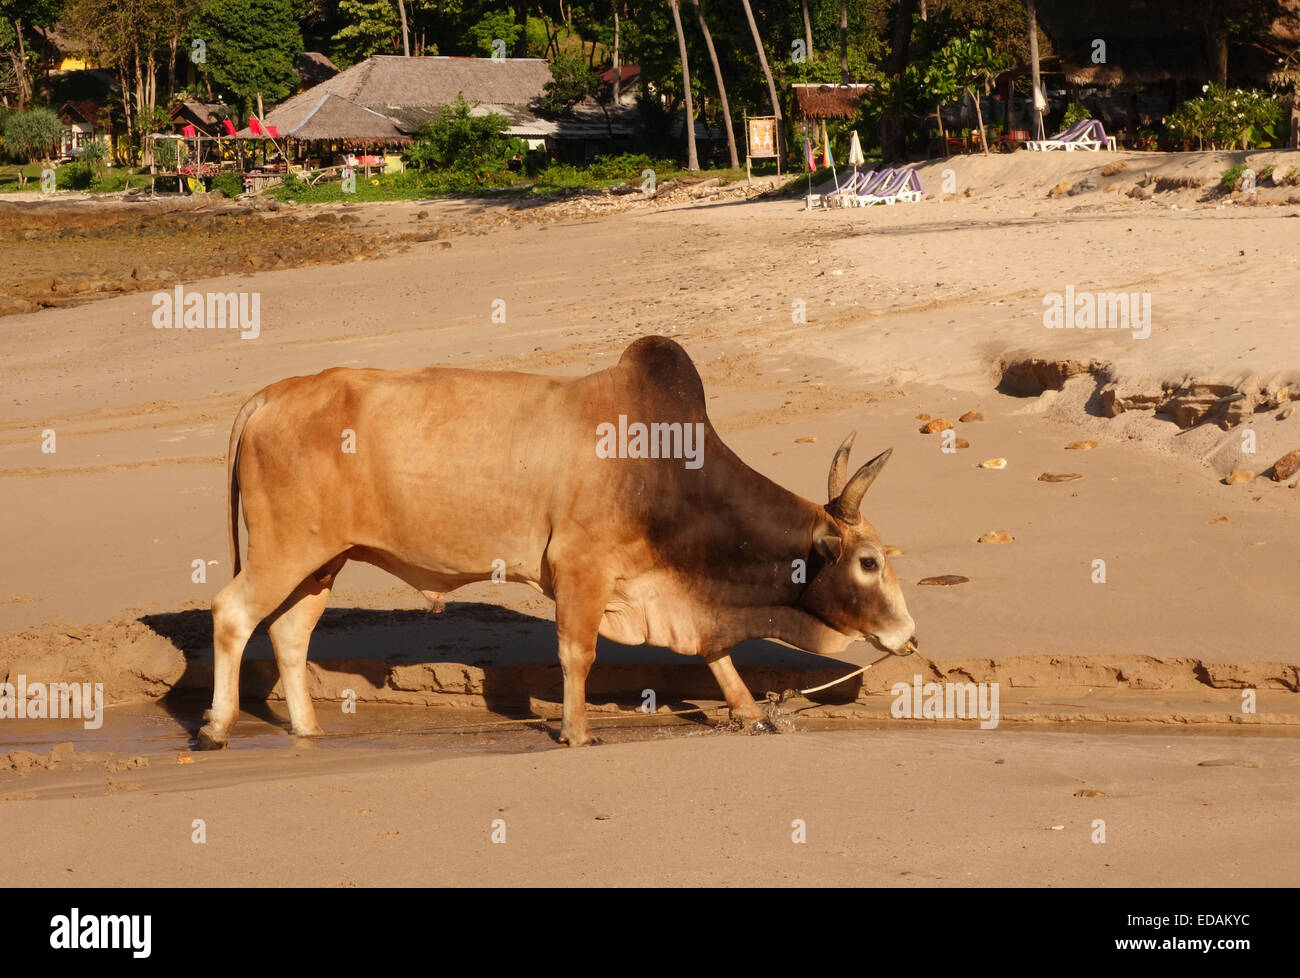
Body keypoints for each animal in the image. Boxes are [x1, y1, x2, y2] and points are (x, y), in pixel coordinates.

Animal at [200, 335, 915, 749]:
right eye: (868, 562)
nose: (909, 636)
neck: (663, 468)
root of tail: (268, 396)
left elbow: (716, 653)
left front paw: (747, 711)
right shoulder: (579, 568)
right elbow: (578, 654)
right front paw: (576, 731)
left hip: (322, 561)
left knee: (290, 634)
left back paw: (308, 730)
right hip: (285, 550)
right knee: (232, 613)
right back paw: (217, 728)